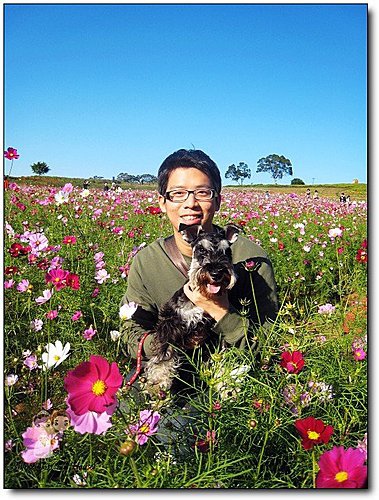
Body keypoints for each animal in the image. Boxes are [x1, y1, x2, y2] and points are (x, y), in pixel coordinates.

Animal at [142, 225, 240, 396]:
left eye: (227, 251)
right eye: (201, 249)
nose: (216, 273)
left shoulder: (218, 331)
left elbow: (222, 357)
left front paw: (225, 385)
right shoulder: (170, 323)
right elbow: (163, 353)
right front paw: (158, 381)